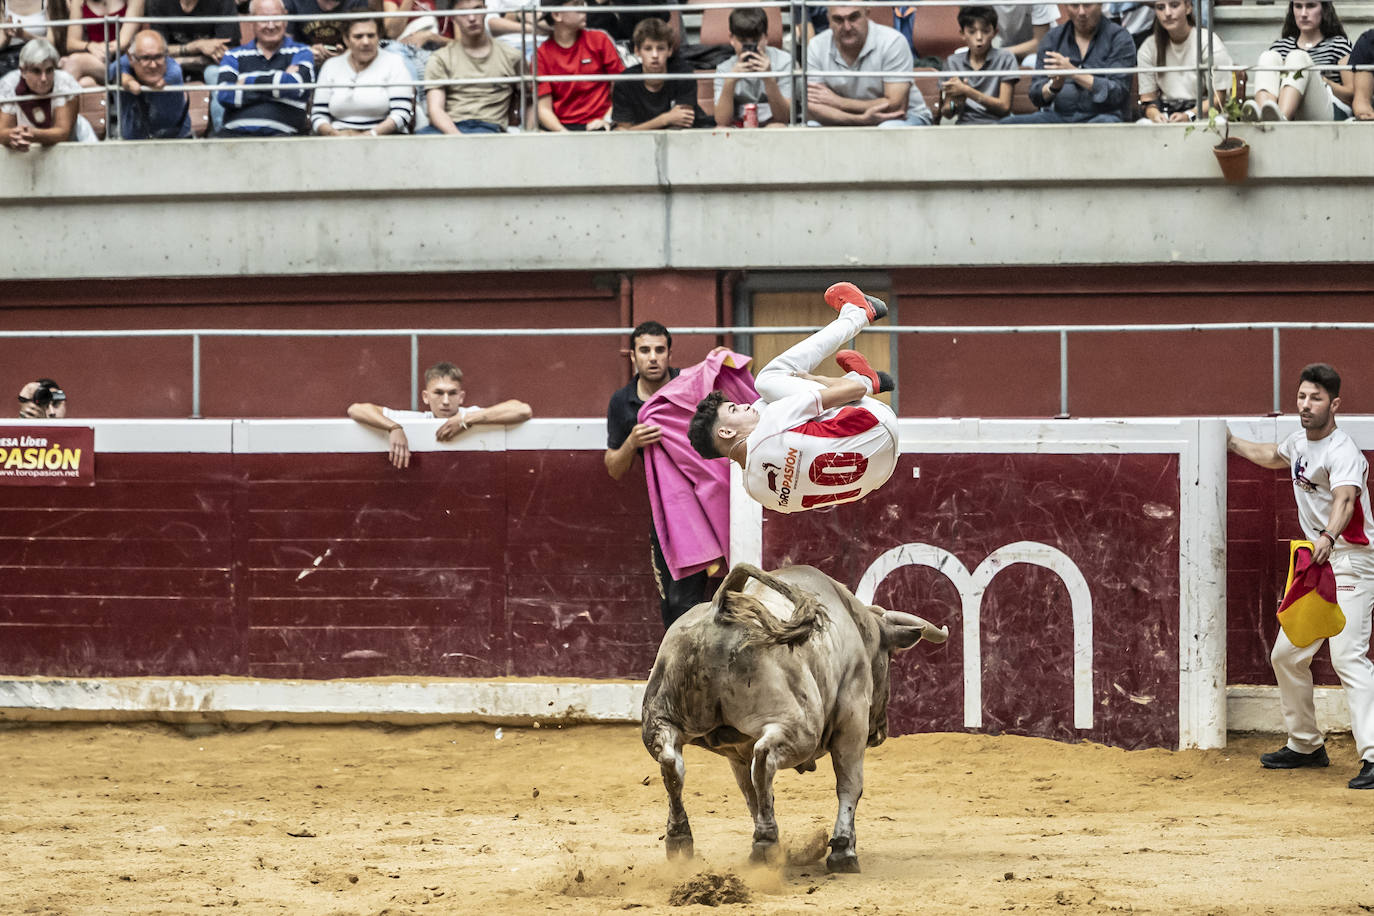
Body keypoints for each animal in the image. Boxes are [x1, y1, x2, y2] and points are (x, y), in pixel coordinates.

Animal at [640, 563, 945, 873]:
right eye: (888, 656)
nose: (880, 731)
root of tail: (719, 608)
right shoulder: (852, 718)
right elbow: (850, 784)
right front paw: (843, 851)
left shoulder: (735, 753)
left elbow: (751, 793)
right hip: (800, 729)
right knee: (764, 761)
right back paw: (765, 845)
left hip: (660, 720)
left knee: (672, 764)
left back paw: (681, 840)